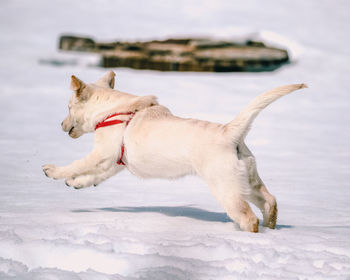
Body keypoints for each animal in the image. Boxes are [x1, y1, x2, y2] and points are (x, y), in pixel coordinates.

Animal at [43, 71, 306, 233]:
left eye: (68, 107)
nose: (61, 124)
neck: (112, 111)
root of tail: (230, 133)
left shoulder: (102, 153)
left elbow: (78, 164)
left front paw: (54, 171)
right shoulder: (115, 162)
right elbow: (95, 175)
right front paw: (76, 183)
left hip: (225, 187)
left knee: (248, 217)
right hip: (248, 179)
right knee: (270, 201)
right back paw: (271, 228)